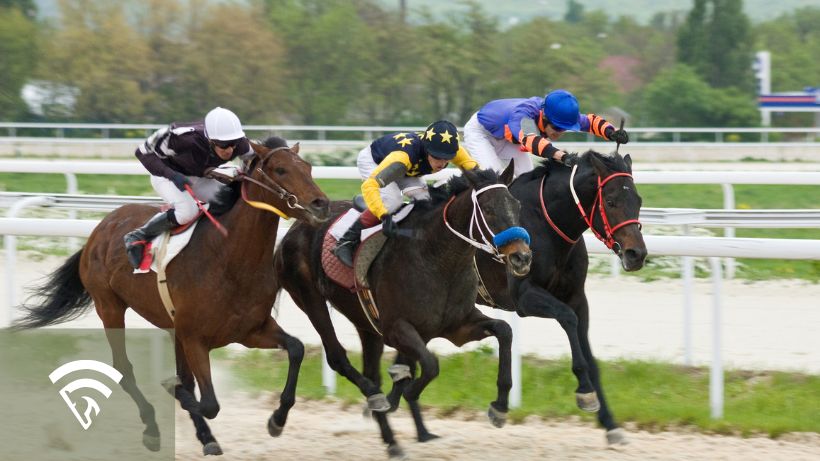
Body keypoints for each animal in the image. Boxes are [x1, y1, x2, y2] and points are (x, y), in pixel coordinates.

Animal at [13, 138, 330, 454]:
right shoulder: (194, 338)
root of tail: (101, 228)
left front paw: (277, 419)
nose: (322, 204)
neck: (229, 260)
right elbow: (206, 401)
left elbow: (296, 349)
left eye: (309, 168)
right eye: (280, 169)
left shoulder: (251, 331)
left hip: (170, 327)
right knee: (124, 368)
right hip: (110, 306)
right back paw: (152, 428)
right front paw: (171, 389)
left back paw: (205, 436)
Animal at [272, 164, 536, 456]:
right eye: (488, 209)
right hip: (310, 299)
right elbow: (430, 365)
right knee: (338, 358)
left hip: (366, 323)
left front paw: (499, 406)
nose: (522, 257)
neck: (437, 256)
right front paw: (407, 394)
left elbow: (504, 330)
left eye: (516, 204)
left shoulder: (458, 326)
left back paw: (393, 436)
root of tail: (294, 229)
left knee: (372, 372)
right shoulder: (397, 328)